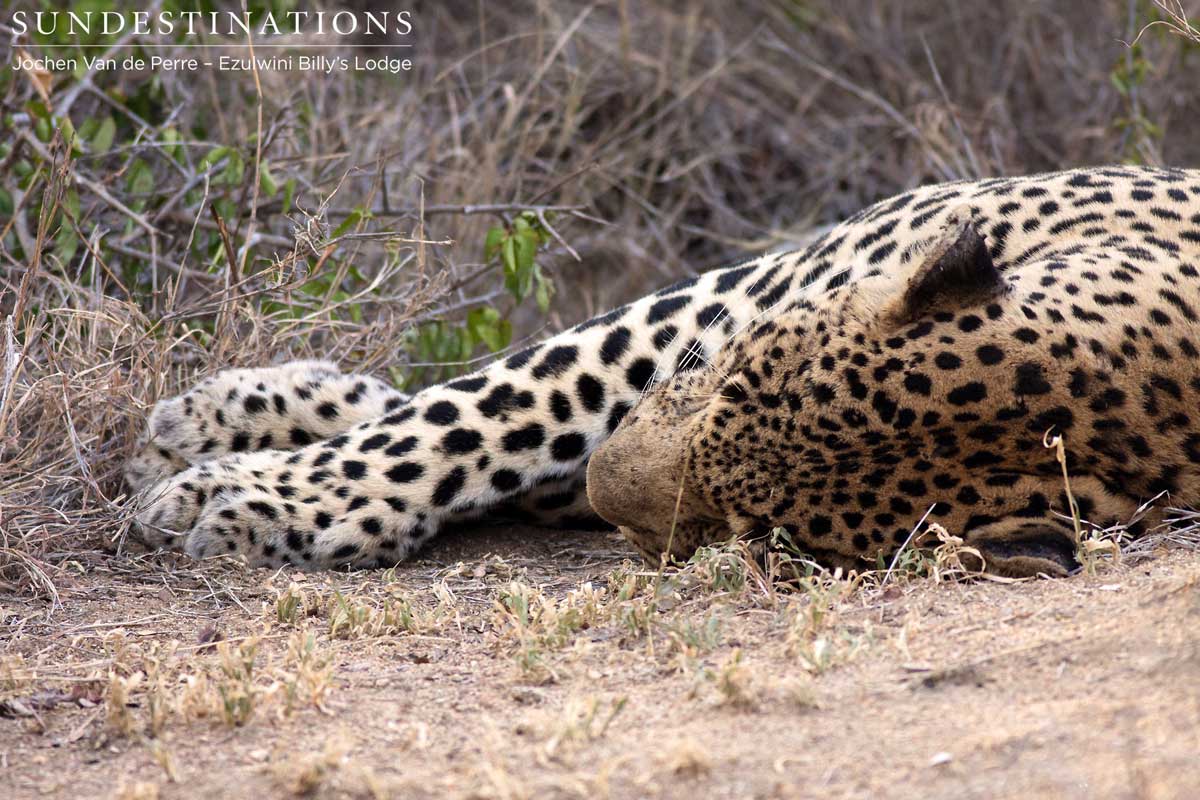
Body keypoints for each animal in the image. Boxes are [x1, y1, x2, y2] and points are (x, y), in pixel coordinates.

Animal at [127, 166, 1200, 578]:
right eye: (731, 384)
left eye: (755, 535)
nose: (613, 502)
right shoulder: (732, 302)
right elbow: (494, 407)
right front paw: (262, 491)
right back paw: (229, 413)